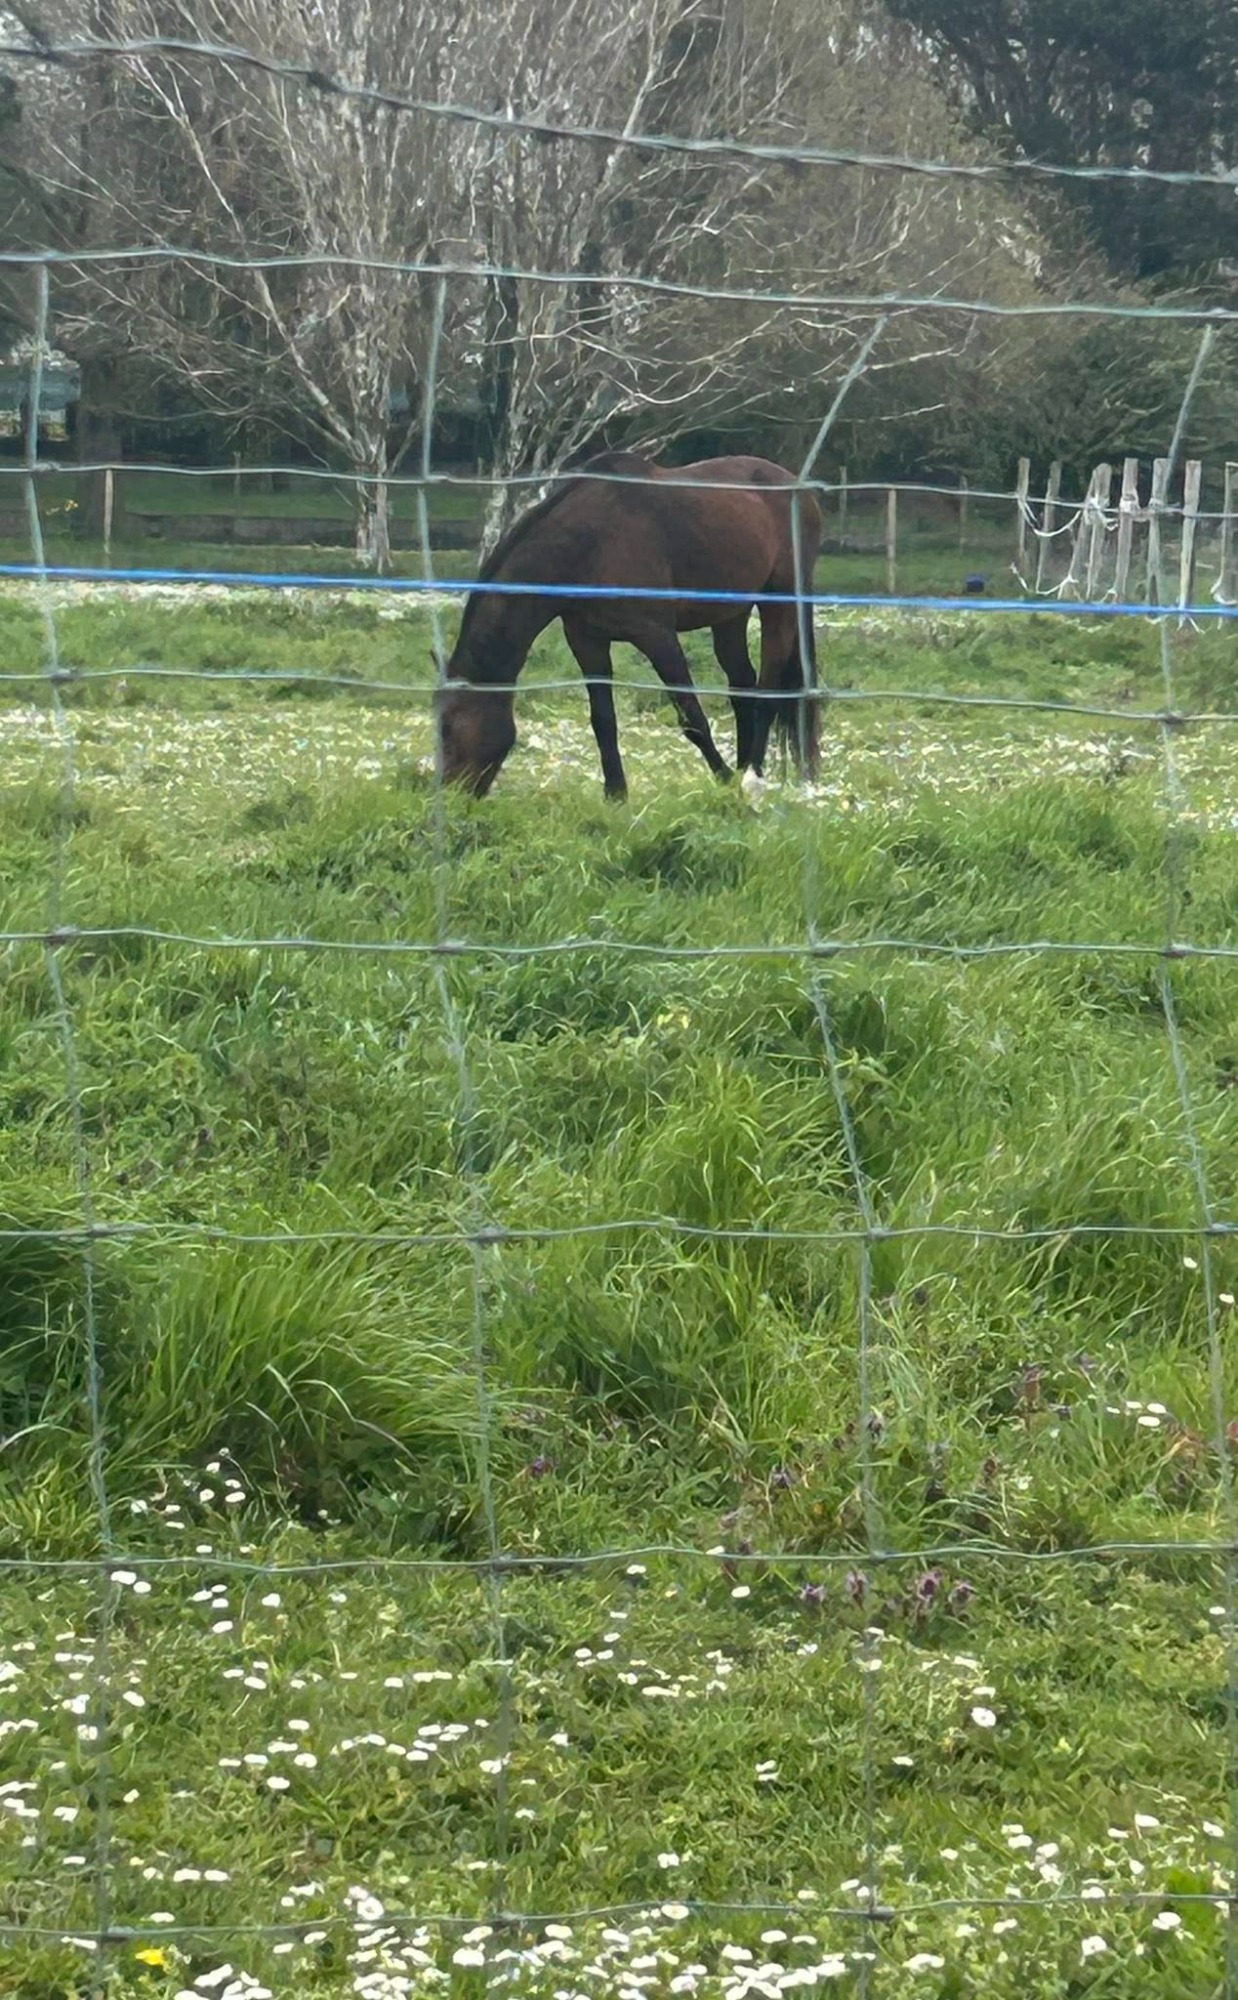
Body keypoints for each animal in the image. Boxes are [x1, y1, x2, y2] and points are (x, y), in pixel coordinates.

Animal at [435, 451, 822, 799]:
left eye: (449, 729)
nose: (450, 798)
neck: (589, 543)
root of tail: (799, 488)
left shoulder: (657, 636)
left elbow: (691, 717)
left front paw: (723, 778)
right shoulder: (586, 640)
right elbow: (603, 720)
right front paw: (616, 794)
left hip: (780, 602)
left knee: (767, 691)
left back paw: (751, 776)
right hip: (729, 615)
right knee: (742, 687)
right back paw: (743, 767)